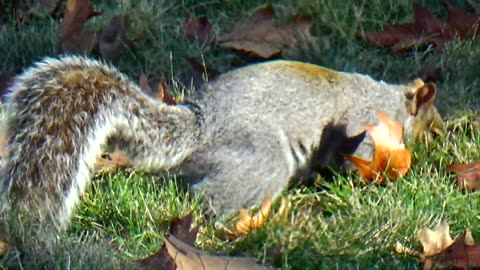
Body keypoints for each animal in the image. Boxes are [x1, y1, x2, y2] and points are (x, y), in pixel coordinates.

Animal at [0, 56, 442, 229]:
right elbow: (359, 150)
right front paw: (373, 176)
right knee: (209, 199)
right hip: (262, 157)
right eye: (433, 127)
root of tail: (200, 122)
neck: (391, 101)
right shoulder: (363, 119)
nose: (438, 140)